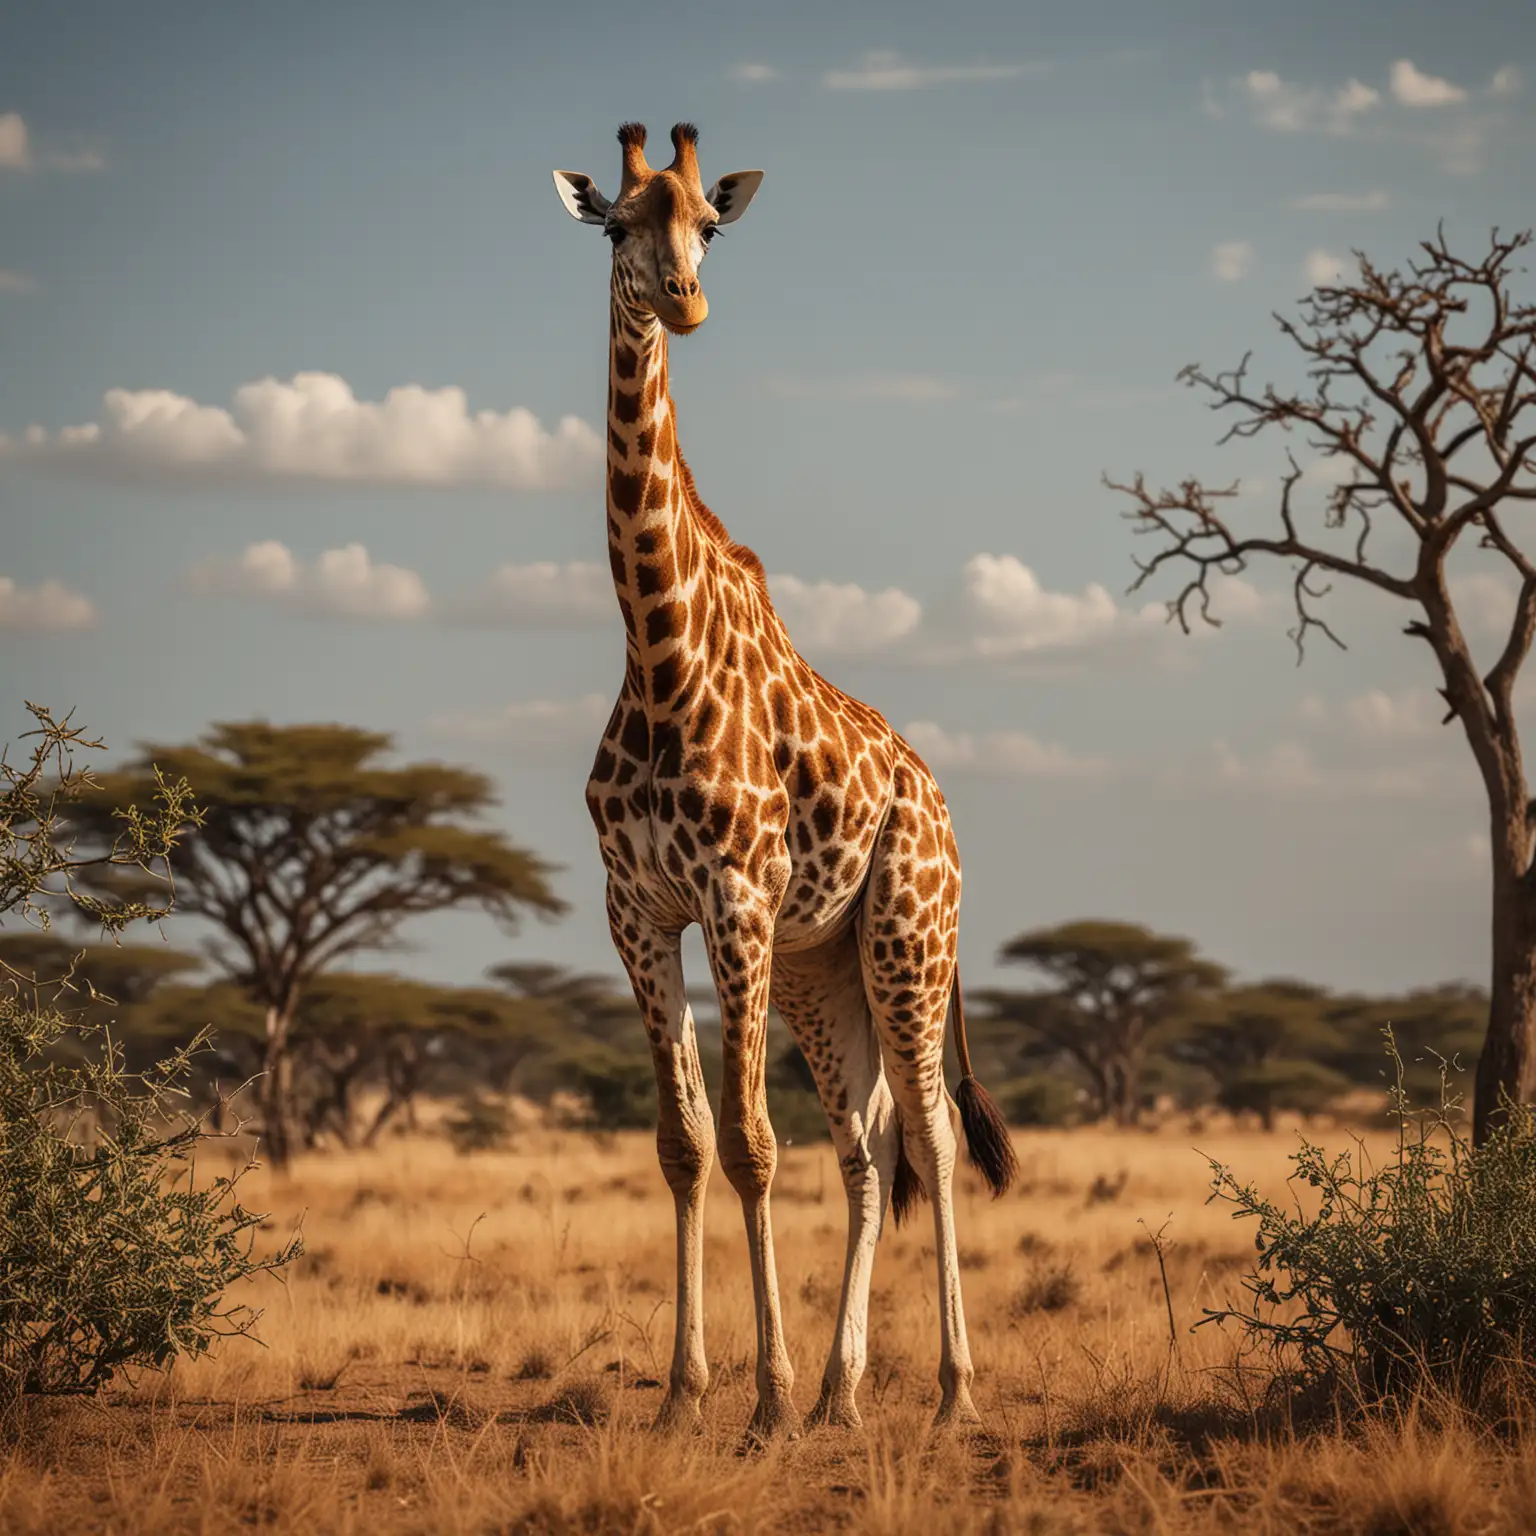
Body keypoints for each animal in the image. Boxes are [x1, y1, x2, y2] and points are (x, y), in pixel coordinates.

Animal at [556, 122, 1019, 1437]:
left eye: (711, 223)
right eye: (618, 226)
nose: (686, 299)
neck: (656, 649)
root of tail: (941, 802)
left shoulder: (738, 899)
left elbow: (753, 1145)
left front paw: (754, 1402)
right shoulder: (636, 911)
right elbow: (684, 1143)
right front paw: (684, 1396)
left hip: (908, 938)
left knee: (932, 1137)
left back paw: (952, 1394)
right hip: (828, 966)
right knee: (866, 1152)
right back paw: (839, 1397)